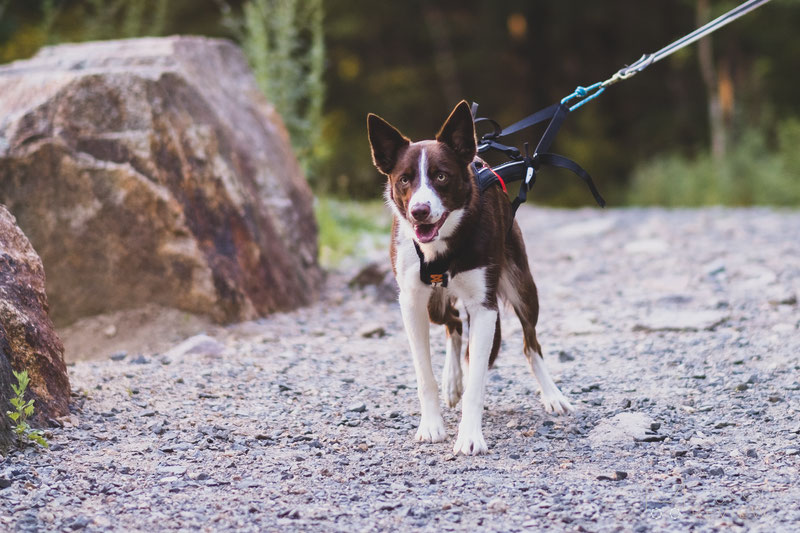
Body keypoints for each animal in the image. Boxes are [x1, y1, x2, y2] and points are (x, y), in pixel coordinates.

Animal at [368, 98, 576, 454]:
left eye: (441, 175)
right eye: (405, 179)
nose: (419, 212)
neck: (441, 248)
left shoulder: (484, 306)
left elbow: (477, 377)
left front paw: (469, 436)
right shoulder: (411, 302)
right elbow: (424, 375)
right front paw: (432, 425)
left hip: (522, 286)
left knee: (530, 343)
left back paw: (552, 395)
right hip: (434, 305)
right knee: (451, 323)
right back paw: (452, 381)